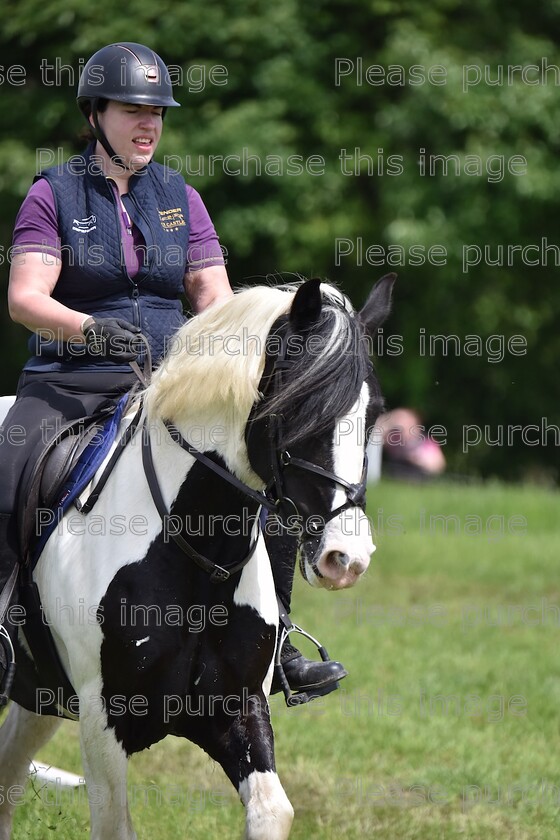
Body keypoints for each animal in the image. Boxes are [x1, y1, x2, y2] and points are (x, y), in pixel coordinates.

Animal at [0, 276, 394, 840]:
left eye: (374, 413)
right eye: (301, 409)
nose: (348, 558)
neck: (198, 556)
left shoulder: (236, 707)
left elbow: (272, 811)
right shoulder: (104, 720)